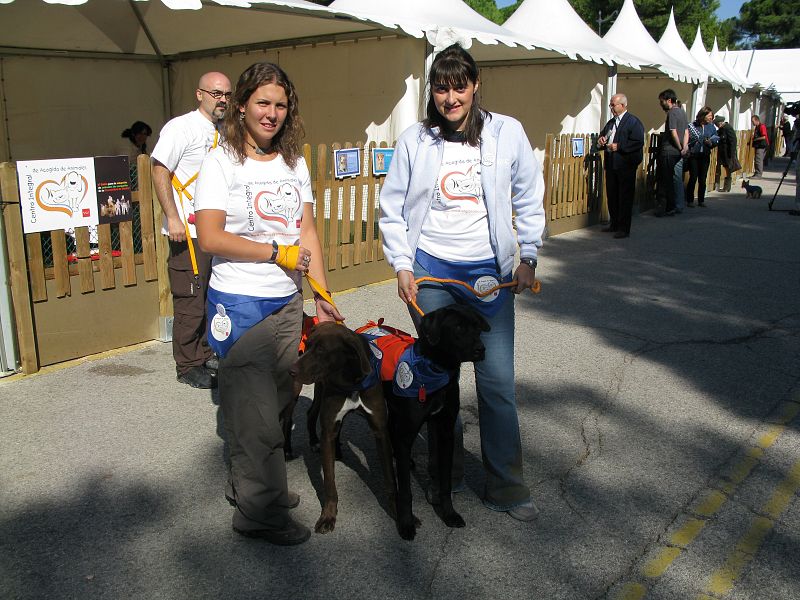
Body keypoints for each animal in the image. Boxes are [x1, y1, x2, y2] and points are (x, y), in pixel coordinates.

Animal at [290, 324, 396, 536]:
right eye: (308, 345)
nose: (291, 370)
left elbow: (390, 479)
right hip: (320, 391)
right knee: (309, 414)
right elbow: (329, 482)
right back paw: (312, 443)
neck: (350, 382)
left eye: (321, 350)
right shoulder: (328, 428)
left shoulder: (380, 430)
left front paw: (401, 514)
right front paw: (328, 516)